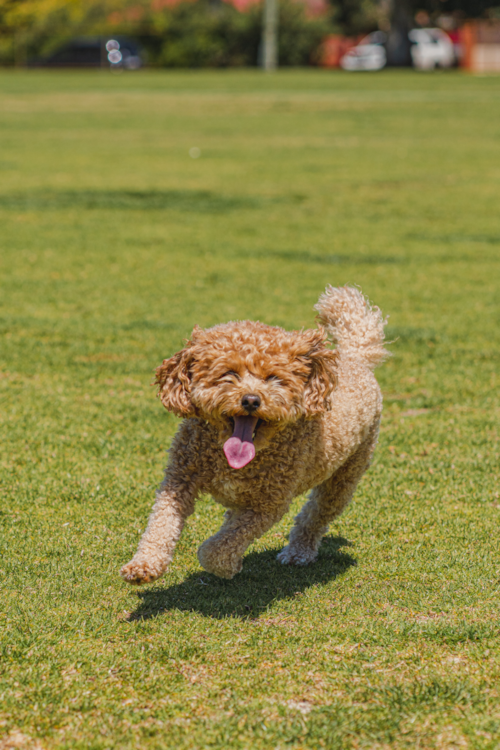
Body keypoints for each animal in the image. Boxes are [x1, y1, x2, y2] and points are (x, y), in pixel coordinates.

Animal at [120, 284, 386, 584]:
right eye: (229, 373)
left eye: (273, 378)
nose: (250, 400)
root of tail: (355, 356)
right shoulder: (179, 480)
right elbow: (161, 523)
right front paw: (143, 565)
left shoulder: (267, 505)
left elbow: (220, 547)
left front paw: (225, 565)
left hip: (345, 475)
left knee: (315, 516)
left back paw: (299, 552)